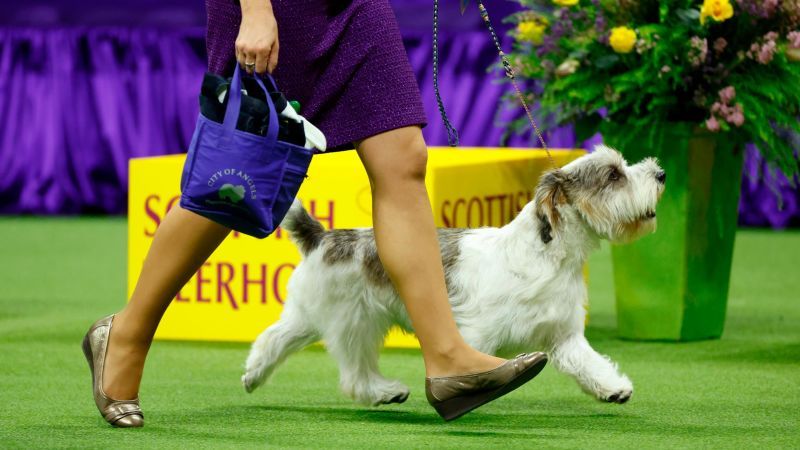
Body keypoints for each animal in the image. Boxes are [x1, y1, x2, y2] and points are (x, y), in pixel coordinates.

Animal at [241, 147, 664, 408]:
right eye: (614, 175)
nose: (660, 173)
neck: (546, 256)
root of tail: (324, 236)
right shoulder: (474, 335)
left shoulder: (563, 336)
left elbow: (588, 362)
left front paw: (613, 389)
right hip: (354, 323)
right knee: (353, 374)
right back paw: (382, 391)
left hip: (313, 317)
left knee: (274, 339)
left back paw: (254, 376)